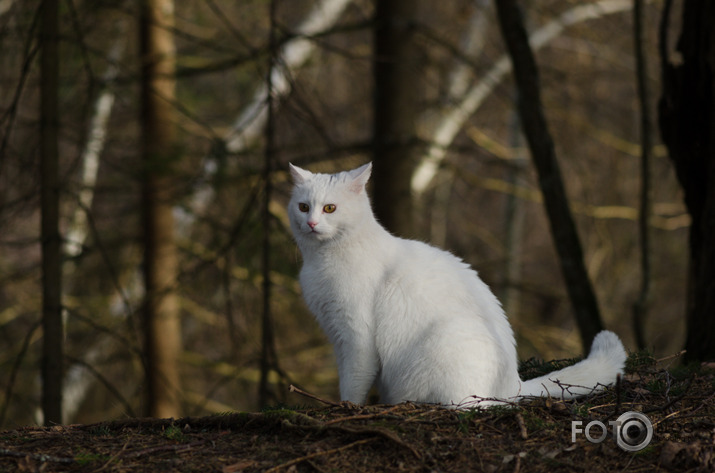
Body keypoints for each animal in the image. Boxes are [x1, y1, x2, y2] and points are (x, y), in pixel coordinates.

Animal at [288, 161, 624, 406]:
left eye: (330, 208)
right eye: (303, 207)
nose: (311, 223)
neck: (321, 262)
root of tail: (514, 384)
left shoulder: (357, 338)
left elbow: (353, 384)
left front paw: (348, 408)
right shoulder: (337, 336)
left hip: (446, 340)